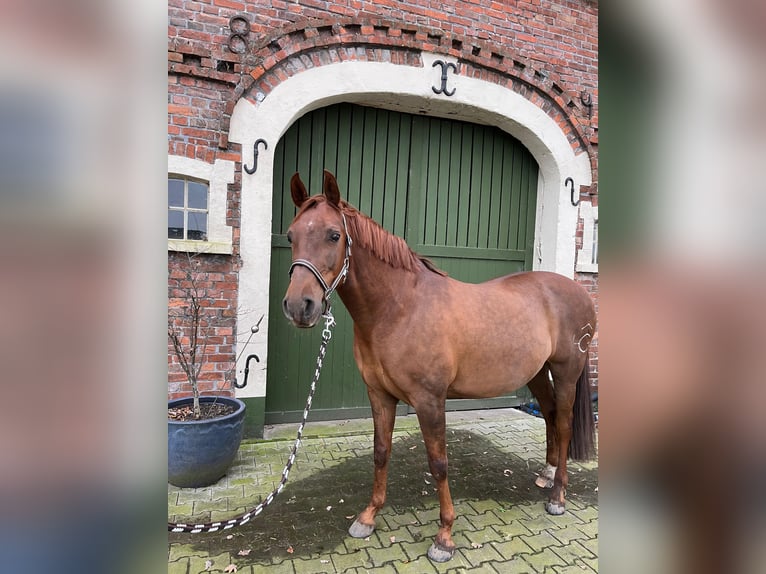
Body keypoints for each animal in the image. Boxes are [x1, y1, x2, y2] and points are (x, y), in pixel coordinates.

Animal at [284, 170, 596, 564]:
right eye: (291, 235)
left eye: (333, 235)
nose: (300, 306)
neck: (399, 308)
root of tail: (578, 291)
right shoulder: (379, 395)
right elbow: (380, 452)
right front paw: (368, 517)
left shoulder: (430, 400)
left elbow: (439, 463)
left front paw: (444, 536)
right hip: (538, 373)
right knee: (552, 415)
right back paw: (546, 475)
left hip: (568, 371)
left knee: (566, 423)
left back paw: (557, 497)